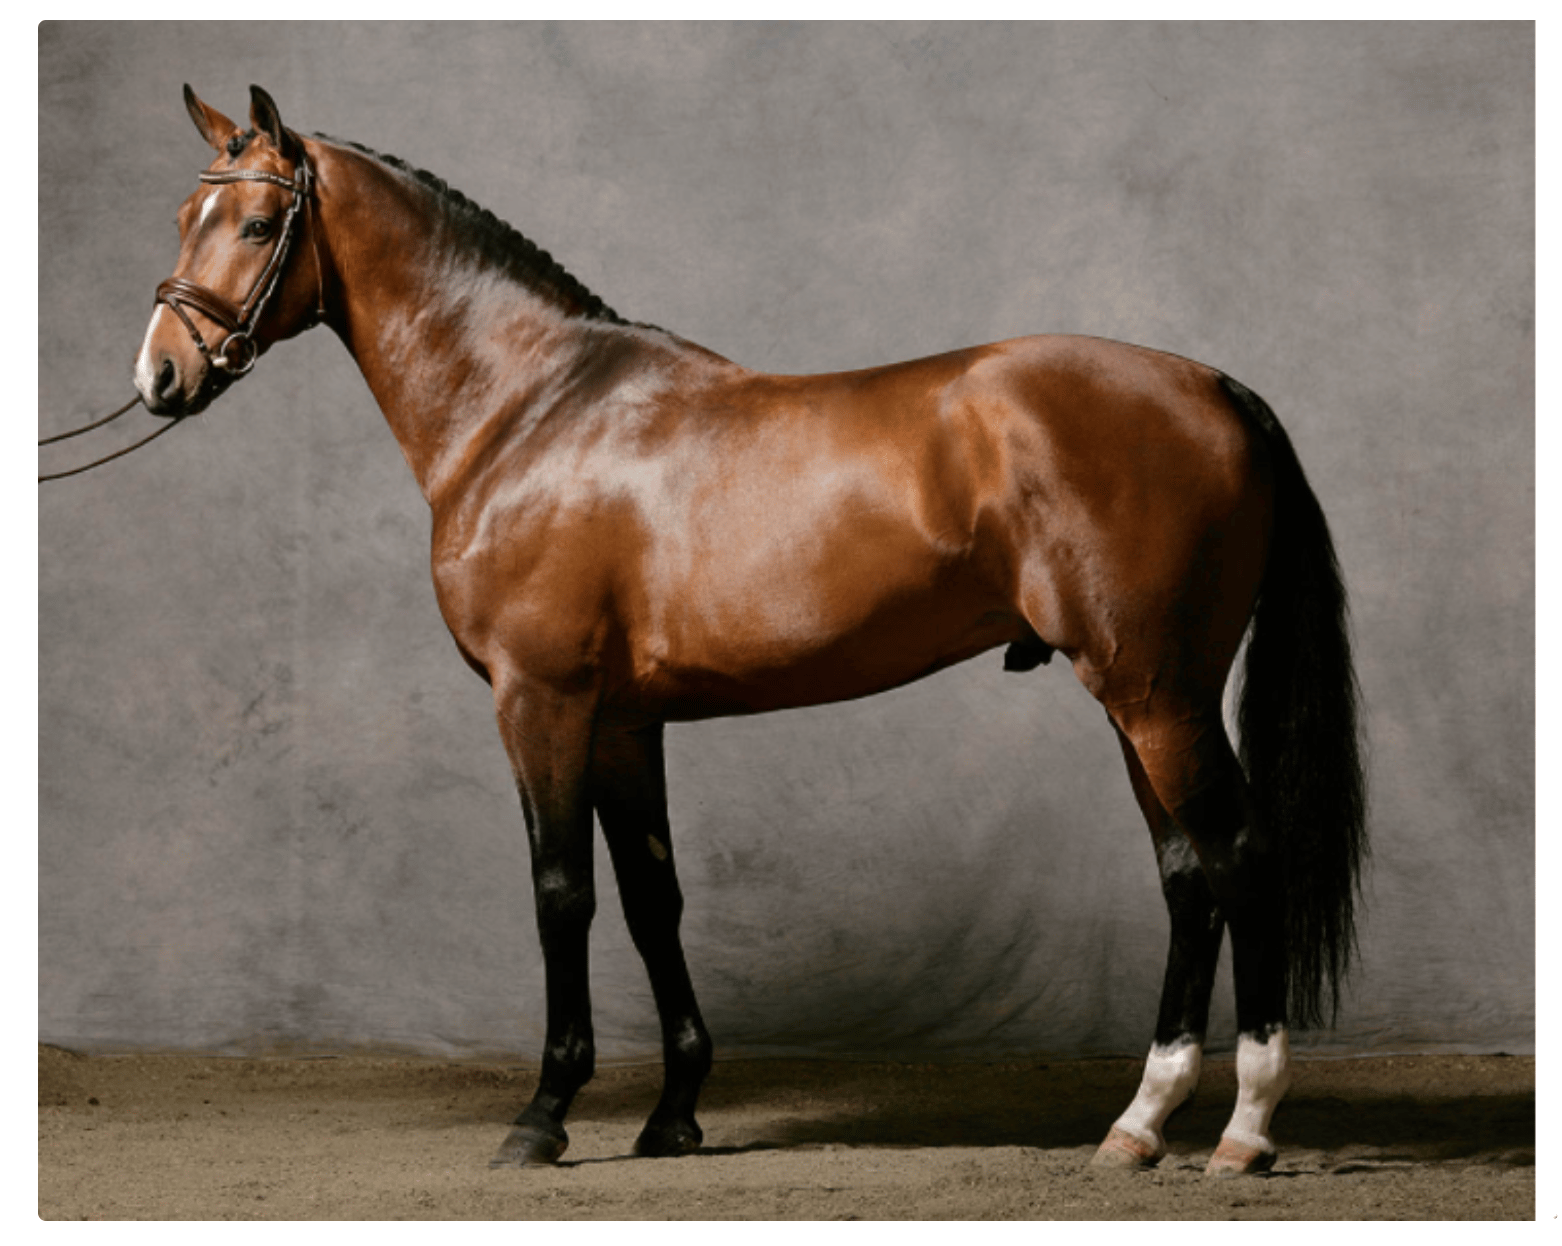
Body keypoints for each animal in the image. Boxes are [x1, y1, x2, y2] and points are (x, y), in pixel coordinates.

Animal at [124, 85, 1366, 1175]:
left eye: (257, 221)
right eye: (184, 215)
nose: (160, 374)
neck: (530, 409)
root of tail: (1214, 387)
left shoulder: (540, 701)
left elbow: (561, 894)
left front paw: (544, 1116)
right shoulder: (624, 721)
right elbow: (651, 900)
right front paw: (672, 1113)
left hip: (1156, 694)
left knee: (1238, 858)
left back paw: (1244, 1131)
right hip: (1138, 691)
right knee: (1185, 875)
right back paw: (1138, 1126)